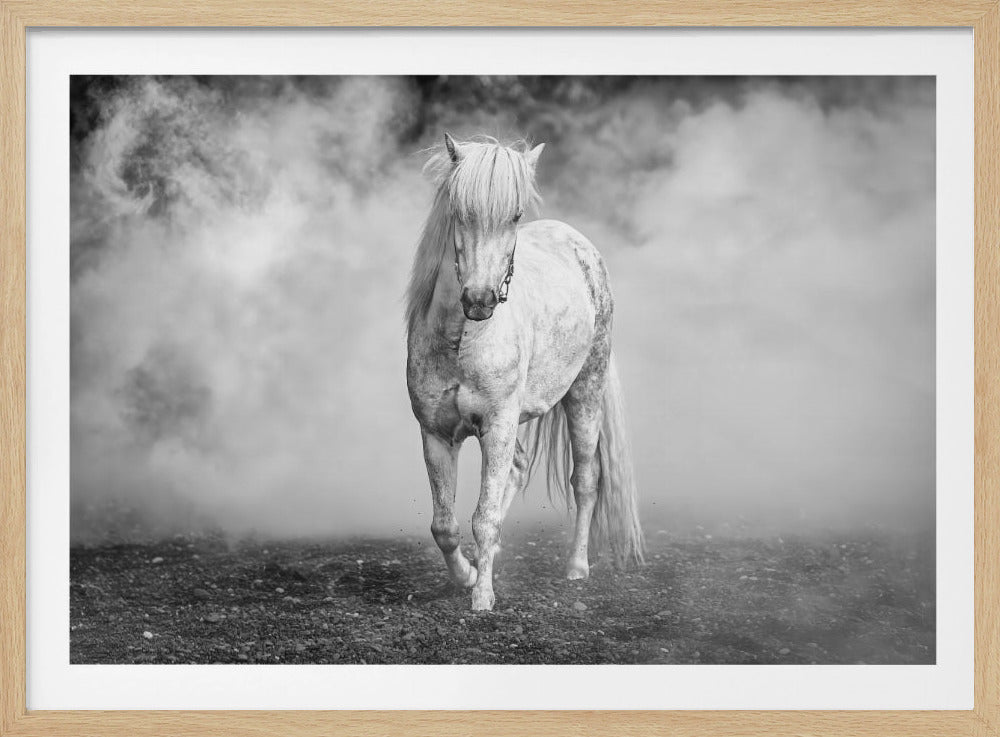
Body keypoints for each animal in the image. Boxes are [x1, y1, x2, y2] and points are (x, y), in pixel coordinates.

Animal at [405, 134, 643, 611]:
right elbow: (445, 525)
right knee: (516, 470)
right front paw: (467, 575)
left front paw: (482, 597)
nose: (479, 300)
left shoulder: (497, 425)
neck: (462, 340)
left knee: (585, 480)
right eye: (460, 212)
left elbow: (484, 517)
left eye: (514, 216)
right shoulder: (436, 433)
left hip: (584, 395)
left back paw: (576, 567)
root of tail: (581, 246)